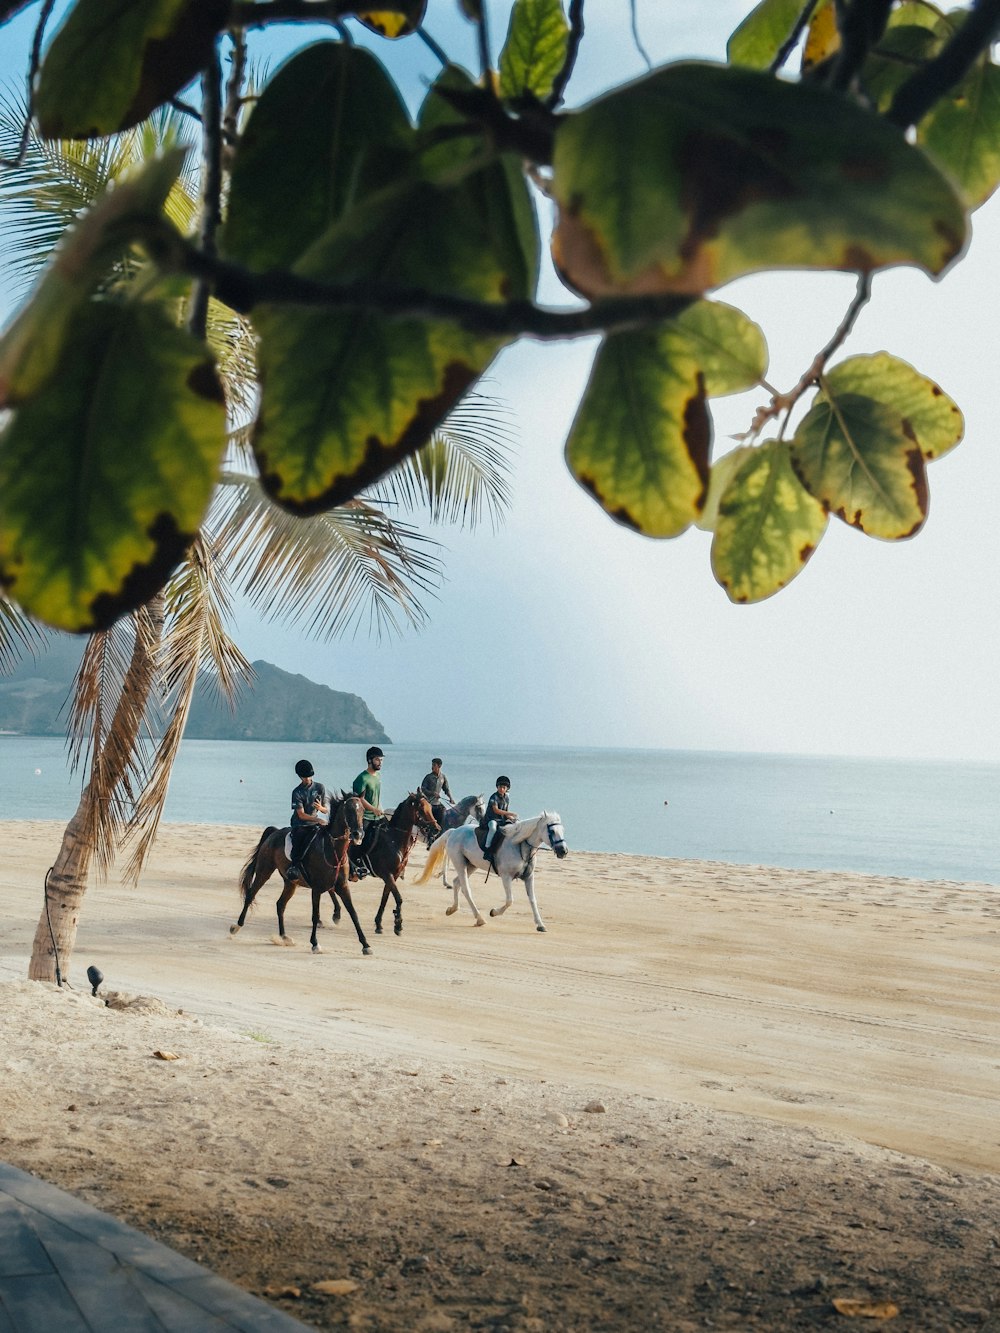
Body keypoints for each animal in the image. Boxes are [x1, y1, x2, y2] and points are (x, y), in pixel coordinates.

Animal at [232, 794, 373, 954]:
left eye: (362, 810)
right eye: (348, 810)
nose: (358, 834)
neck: (332, 850)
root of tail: (274, 832)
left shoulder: (342, 886)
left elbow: (353, 913)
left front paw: (366, 945)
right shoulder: (316, 889)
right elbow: (315, 915)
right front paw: (315, 943)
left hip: (290, 883)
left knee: (280, 904)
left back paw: (284, 937)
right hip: (264, 871)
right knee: (251, 895)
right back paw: (237, 926)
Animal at [357, 789, 440, 938]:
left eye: (430, 807)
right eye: (421, 808)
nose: (437, 829)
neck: (394, 840)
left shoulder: (393, 875)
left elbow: (385, 898)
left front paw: (379, 924)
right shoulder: (386, 874)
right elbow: (399, 898)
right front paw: (398, 924)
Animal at [416, 805, 570, 933]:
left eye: (562, 830)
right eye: (552, 830)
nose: (563, 851)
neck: (520, 846)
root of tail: (454, 831)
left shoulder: (529, 877)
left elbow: (533, 900)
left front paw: (540, 924)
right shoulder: (506, 876)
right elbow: (510, 900)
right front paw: (494, 912)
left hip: (471, 865)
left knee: (456, 883)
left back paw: (452, 909)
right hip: (460, 863)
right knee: (466, 889)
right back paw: (480, 919)